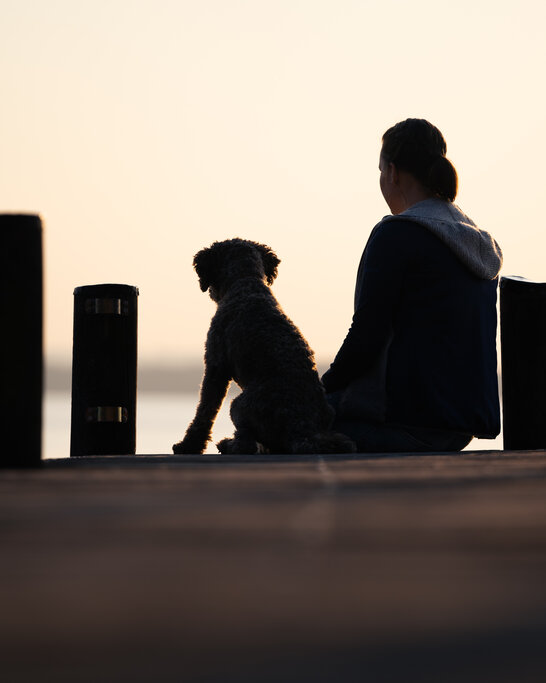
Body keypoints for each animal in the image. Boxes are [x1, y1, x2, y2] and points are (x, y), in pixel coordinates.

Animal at [172, 238, 354, 456]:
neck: (246, 281)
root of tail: (301, 428)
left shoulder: (216, 366)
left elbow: (205, 411)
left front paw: (189, 445)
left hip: (238, 405)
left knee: (246, 443)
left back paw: (228, 444)